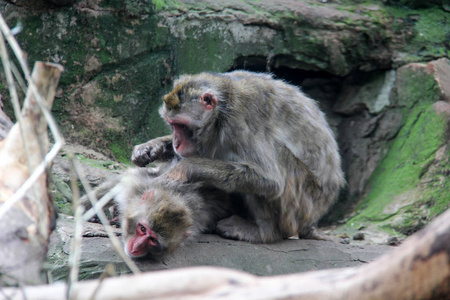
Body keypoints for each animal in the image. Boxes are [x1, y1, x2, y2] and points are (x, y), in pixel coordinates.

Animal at [78, 161, 230, 258]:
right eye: (142, 228)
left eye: (153, 240)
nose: (136, 247)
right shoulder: (139, 185)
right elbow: (116, 185)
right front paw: (84, 209)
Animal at [132, 70, 346, 244]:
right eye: (172, 125)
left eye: (182, 126)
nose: (176, 142)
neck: (222, 109)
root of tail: (311, 222)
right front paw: (150, 148)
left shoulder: (241, 122)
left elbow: (270, 180)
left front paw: (183, 169)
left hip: (299, 209)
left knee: (278, 157)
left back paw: (264, 232)